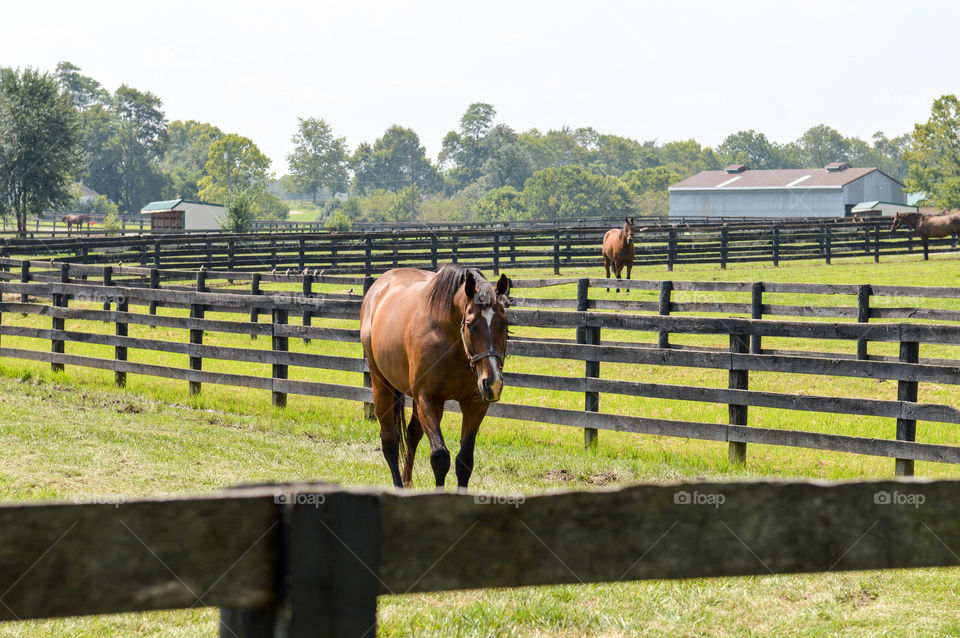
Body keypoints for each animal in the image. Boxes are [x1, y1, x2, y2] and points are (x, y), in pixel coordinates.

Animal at [360, 264, 510, 490]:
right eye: (470, 323)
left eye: (505, 324)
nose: (492, 383)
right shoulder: (428, 399)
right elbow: (440, 458)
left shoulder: (475, 403)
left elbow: (464, 461)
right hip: (381, 384)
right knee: (390, 441)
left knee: (412, 435)